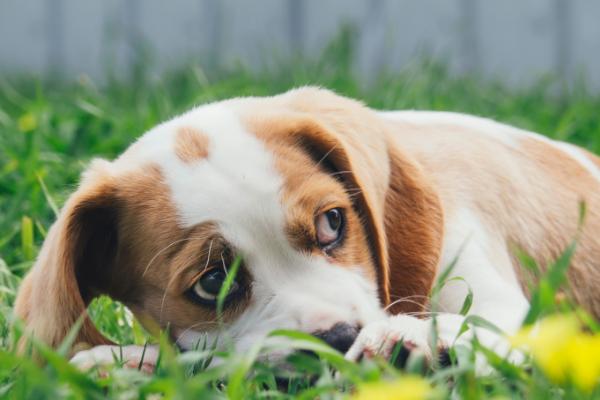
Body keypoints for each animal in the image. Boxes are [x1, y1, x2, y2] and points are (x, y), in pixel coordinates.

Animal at [12, 86, 600, 368]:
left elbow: (484, 324)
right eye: (213, 282)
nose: (340, 338)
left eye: (333, 223)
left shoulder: (497, 296)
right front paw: (126, 364)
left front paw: (414, 338)